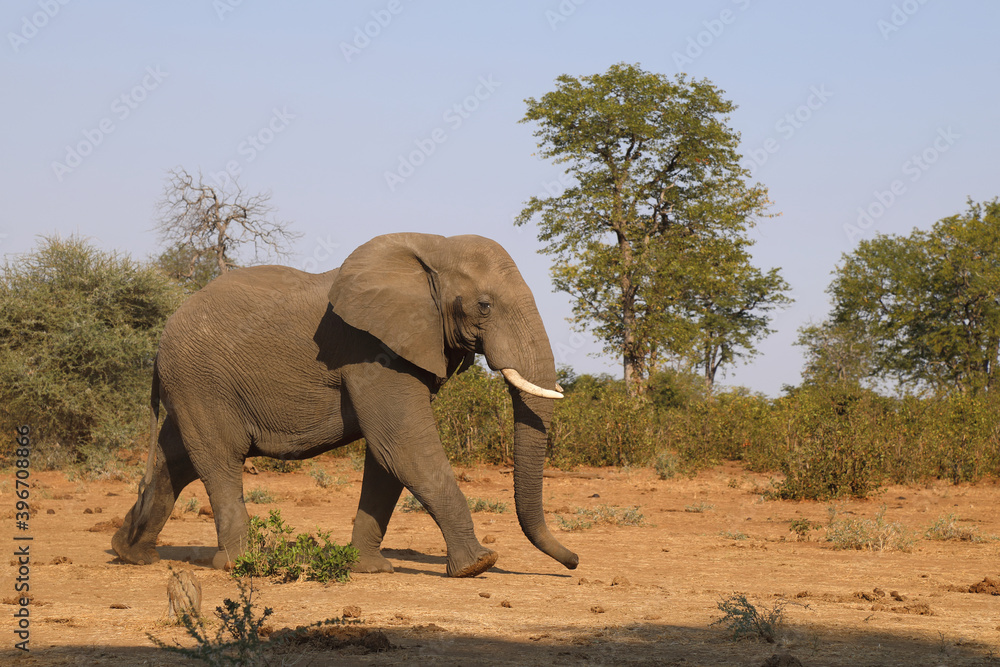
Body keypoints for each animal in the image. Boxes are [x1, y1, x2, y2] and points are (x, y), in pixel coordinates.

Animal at [111, 232, 578, 578]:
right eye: (484, 306)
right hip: (202, 381)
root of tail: (160, 342)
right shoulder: (371, 349)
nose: (573, 561)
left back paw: (131, 553)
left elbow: (386, 457)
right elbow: (403, 446)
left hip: (193, 385)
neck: (433, 247)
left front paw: (369, 569)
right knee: (219, 460)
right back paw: (238, 564)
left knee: (176, 460)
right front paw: (477, 566)